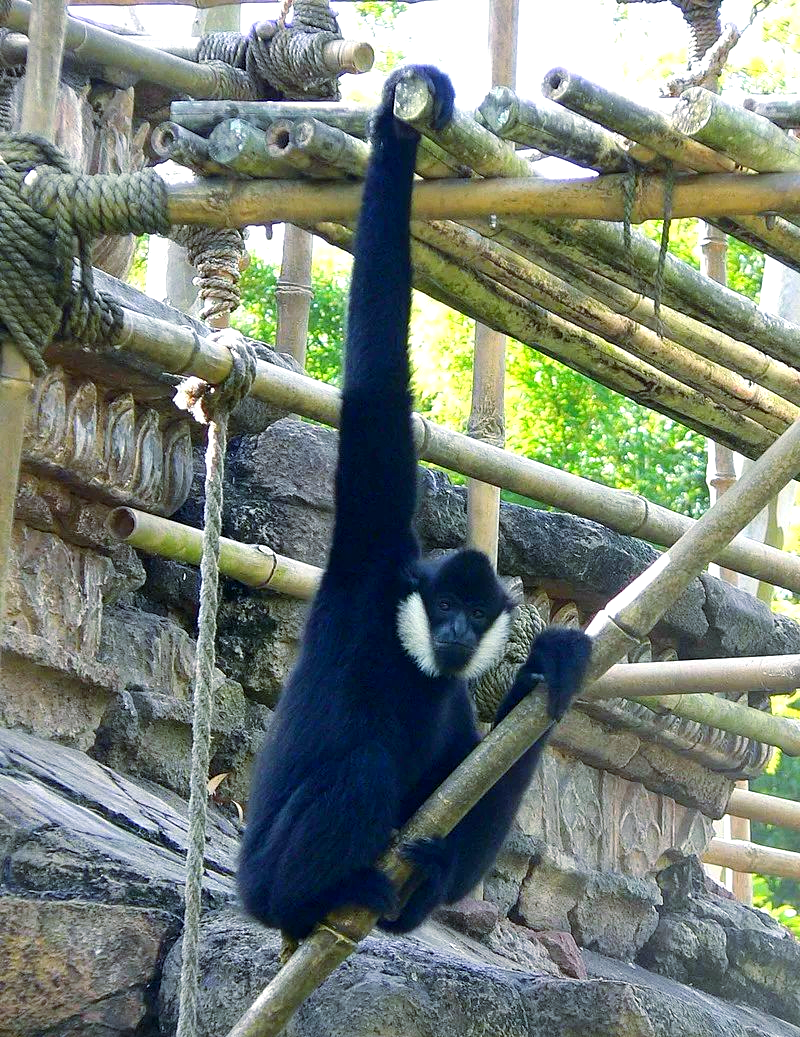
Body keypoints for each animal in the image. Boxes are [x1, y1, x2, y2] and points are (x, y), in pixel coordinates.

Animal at [237, 65, 592, 941]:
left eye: (477, 610)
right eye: (446, 607)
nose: (461, 630)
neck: (416, 658)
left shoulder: (457, 698)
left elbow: (472, 777)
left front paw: (554, 665)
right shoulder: (369, 557)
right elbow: (374, 395)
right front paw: (402, 126)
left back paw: (414, 887)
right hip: (263, 873)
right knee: (361, 768)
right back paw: (314, 898)